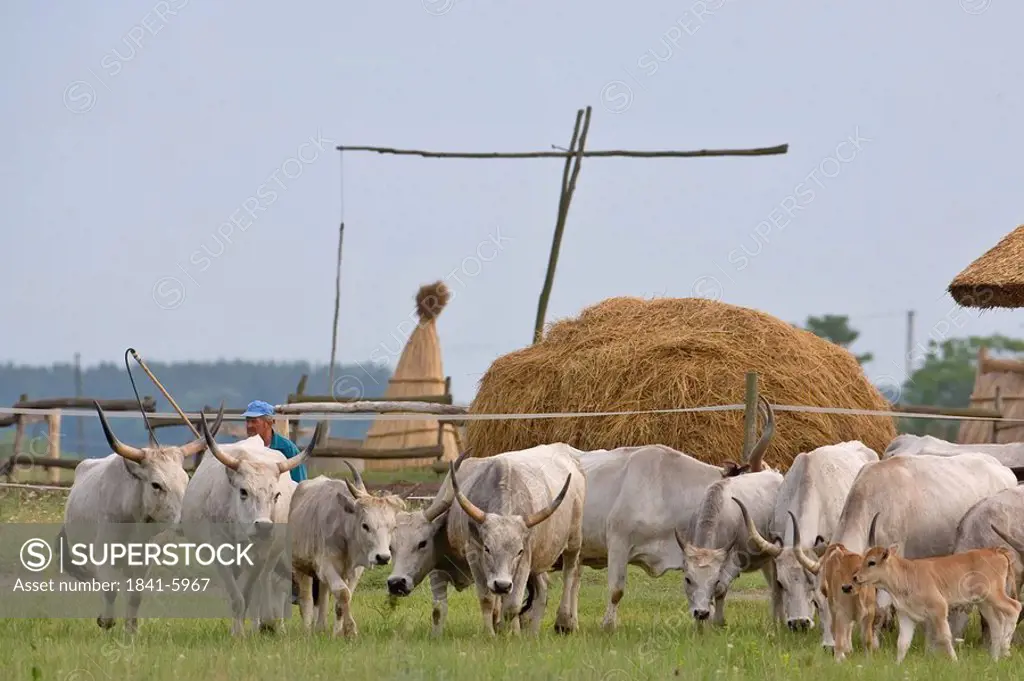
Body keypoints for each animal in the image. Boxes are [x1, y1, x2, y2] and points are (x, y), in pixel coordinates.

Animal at [847, 540, 1024, 659]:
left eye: (871, 562)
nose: (855, 577)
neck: (906, 575)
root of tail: (995, 551)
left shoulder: (939, 609)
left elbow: (945, 637)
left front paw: (955, 661)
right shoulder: (906, 616)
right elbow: (902, 643)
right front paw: (897, 665)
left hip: (995, 595)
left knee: (1014, 607)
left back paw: (1005, 648)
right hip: (984, 603)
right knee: (996, 624)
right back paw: (994, 658)